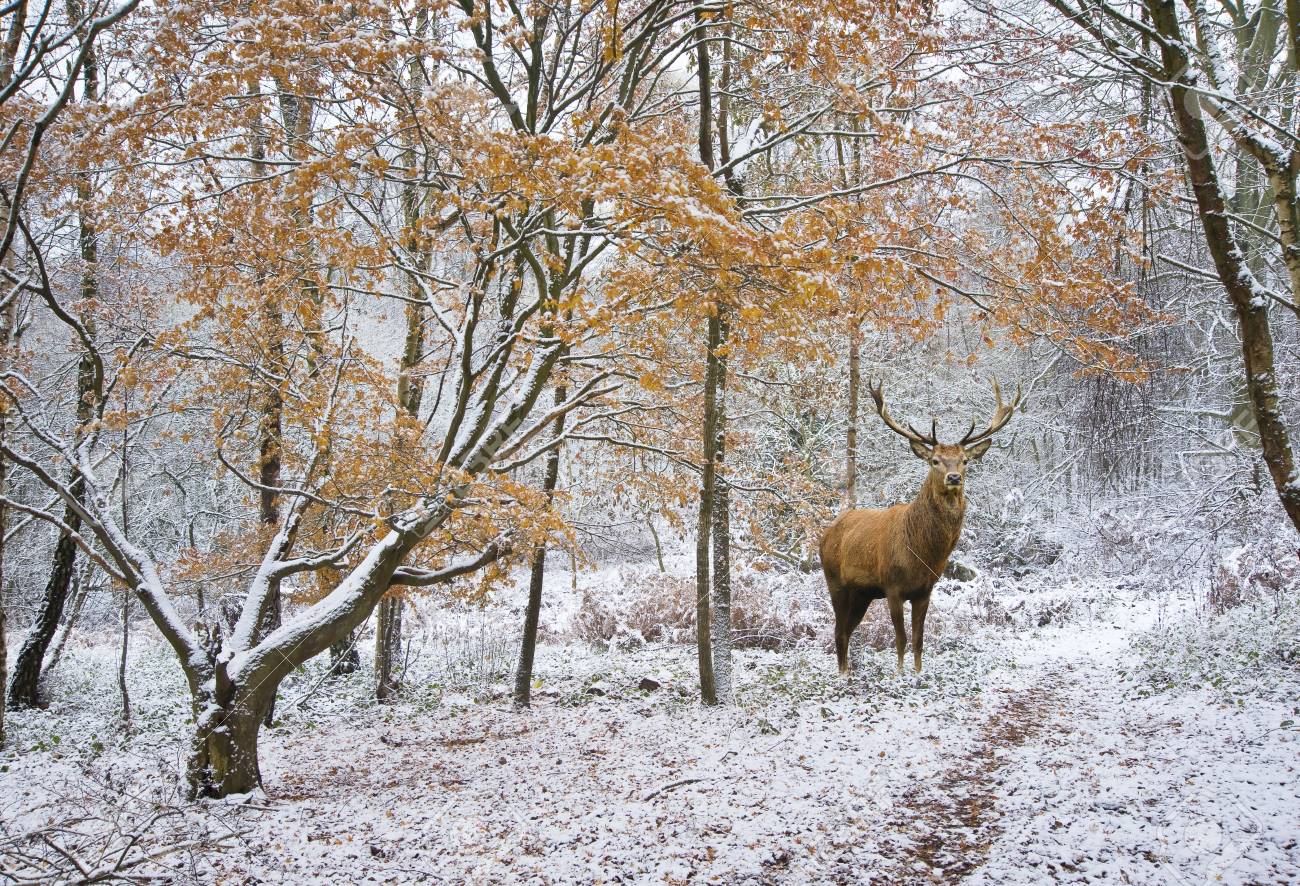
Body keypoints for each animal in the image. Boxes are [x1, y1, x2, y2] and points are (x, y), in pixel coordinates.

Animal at [820, 379, 1021, 675]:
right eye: (935, 460)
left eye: (965, 460)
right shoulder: (892, 586)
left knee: (847, 629)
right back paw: (843, 674)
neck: (921, 552)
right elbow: (900, 638)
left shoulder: (925, 590)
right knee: (838, 630)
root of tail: (824, 536)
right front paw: (900, 674)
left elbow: (918, 639)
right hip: (835, 581)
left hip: (862, 593)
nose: (954, 477)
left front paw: (917, 673)